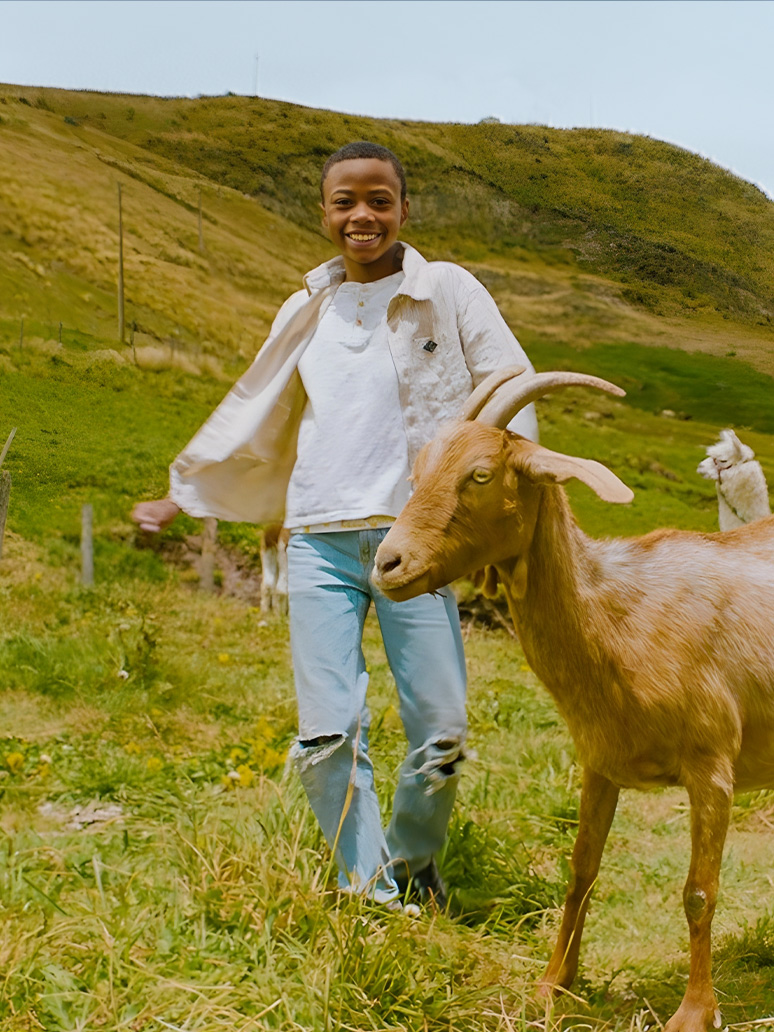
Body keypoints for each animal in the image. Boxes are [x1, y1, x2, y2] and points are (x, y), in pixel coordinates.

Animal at [372, 366, 774, 1032]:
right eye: (419, 468)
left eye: (480, 474)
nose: (388, 563)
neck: (620, 614)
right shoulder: (599, 763)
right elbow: (581, 870)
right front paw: (552, 983)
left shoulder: (712, 768)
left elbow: (699, 892)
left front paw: (694, 1011)